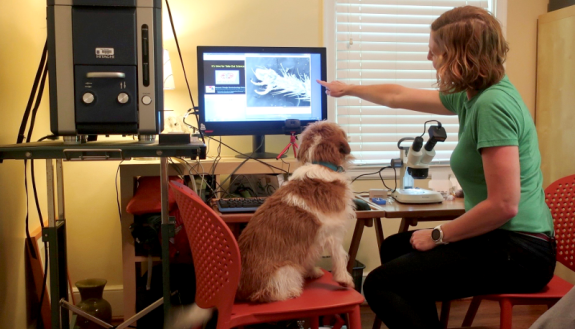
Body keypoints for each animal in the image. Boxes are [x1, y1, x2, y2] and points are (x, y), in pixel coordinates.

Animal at [237, 119, 358, 302]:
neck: (321, 163)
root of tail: (239, 290)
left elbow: (309, 258)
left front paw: (312, 271)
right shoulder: (333, 233)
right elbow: (340, 257)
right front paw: (344, 279)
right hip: (286, 269)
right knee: (269, 293)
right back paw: (292, 291)